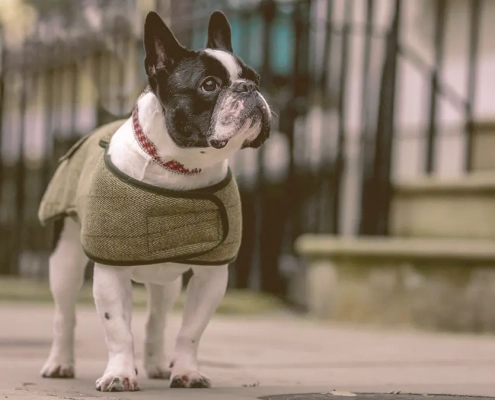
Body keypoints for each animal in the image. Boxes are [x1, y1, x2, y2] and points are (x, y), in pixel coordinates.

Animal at [39, 11, 272, 390]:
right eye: (209, 85)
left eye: (256, 79)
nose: (248, 89)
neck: (179, 168)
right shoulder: (110, 272)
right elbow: (118, 328)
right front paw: (119, 374)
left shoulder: (212, 276)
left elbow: (191, 330)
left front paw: (186, 371)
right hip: (66, 260)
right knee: (64, 314)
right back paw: (59, 363)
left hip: (167, 279)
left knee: (156, 319)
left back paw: (158, 365)